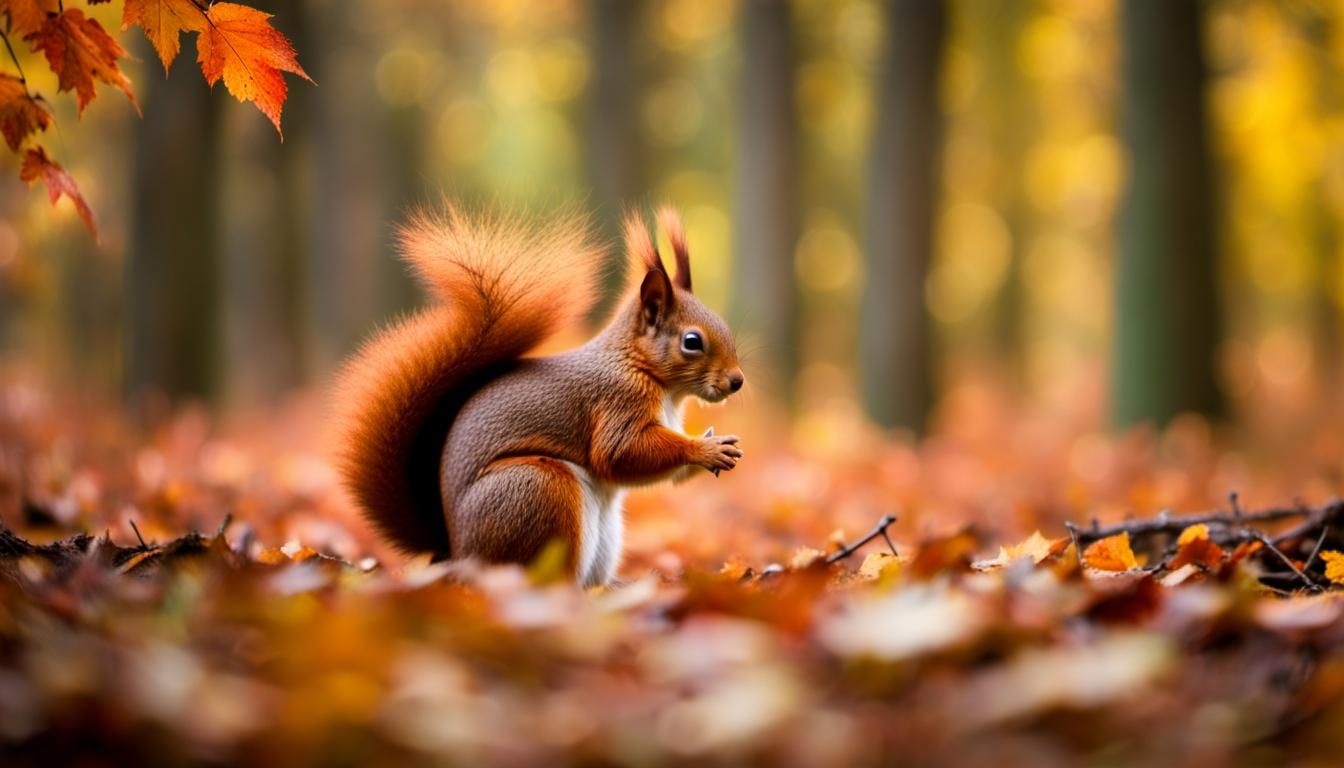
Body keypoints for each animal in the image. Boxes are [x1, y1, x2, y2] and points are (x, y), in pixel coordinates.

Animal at [333, 203, 744, 587]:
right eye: (692, 342)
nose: (737, 381)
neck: (650, 375)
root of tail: (459, 554)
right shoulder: (617, 402)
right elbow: (619, 453)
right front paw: (704, 449)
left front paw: (715, 447)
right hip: (539, 487)